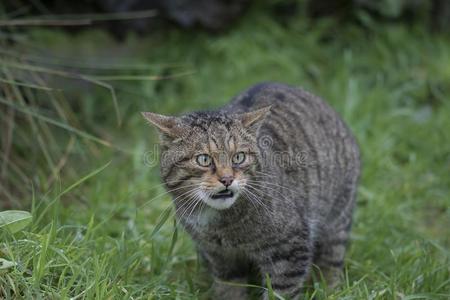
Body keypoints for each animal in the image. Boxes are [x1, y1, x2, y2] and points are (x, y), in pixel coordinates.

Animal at [142, 82, 360, 300]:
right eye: (203, 159)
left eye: (238, 157)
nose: (227, 179)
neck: (218, 222)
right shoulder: (220, 258)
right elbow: (229, 289)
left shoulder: (289, 250)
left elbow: (280, 292)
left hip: (336, 221)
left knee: (331, 262)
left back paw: (330, 290)